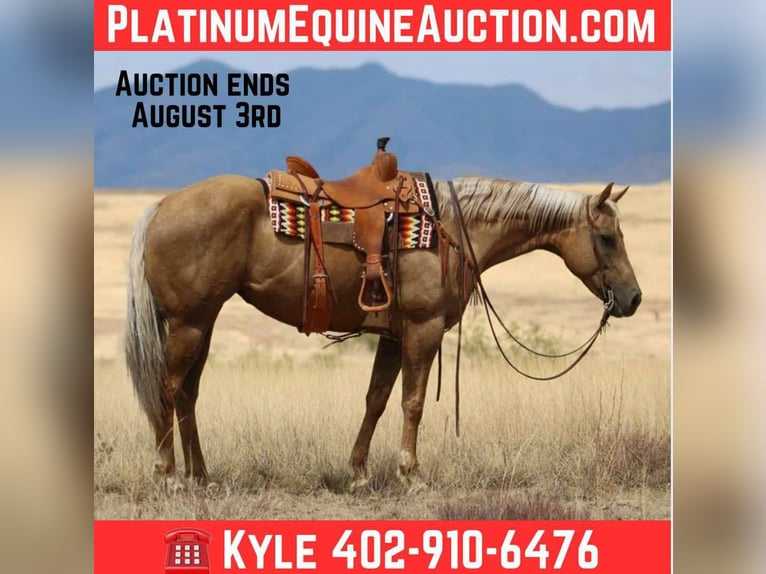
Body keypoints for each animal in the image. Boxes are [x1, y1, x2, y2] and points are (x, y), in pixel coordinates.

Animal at [125, 174, 641, 488]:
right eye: (607, 238)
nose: (633, 298)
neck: (454, 228)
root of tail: (163, 205)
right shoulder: (423, 330)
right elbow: (412, 403)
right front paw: (410, 473)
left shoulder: (393, 337)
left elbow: (376, 399)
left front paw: (358, 472)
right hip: (190, 323)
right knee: (167, 389)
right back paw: (168, 474)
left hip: (203, 322)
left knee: (187, 393)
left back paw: (201, 475)